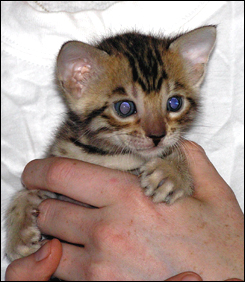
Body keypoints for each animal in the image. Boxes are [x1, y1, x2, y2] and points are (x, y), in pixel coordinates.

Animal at [5, 25, 216, 262]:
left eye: (174, 103)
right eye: (124, 108)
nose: (157, 135)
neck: (107, 155)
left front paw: (171, 172)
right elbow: (25, 192)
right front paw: (19, 231)